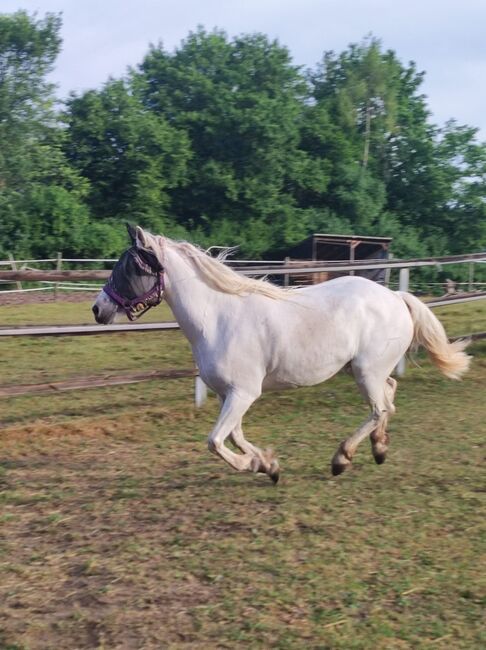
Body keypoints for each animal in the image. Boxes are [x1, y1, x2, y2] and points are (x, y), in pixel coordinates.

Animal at [92, 225, 470, 478]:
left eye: (130, 267)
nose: (98, 309)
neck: (217, 318)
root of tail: (396, 297)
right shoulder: (229, 394)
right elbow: (236, 435)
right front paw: (267, 464)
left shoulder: (244, 392)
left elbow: (216, 440)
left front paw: (255, 465)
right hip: (364, 370)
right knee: (390, 395)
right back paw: (379, 449)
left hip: (367, 371)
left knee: (380, 408)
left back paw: (341, 459)